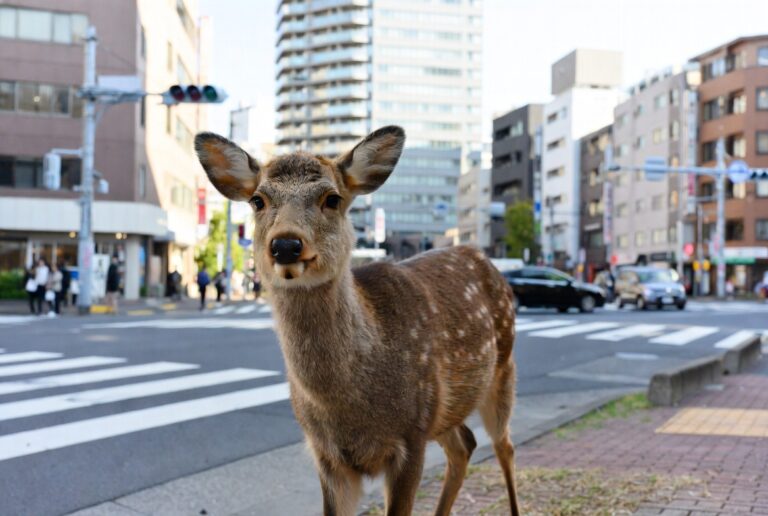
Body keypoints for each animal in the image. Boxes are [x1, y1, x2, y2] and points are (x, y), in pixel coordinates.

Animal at [194, 126, 520, 516]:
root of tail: (483, 258)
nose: (286, 245)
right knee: (465, 444)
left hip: (501, 369)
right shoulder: (326, 454)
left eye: (332, 198)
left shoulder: (411, 435)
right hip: (446, 408)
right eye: (258, 200)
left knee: (504, 446)